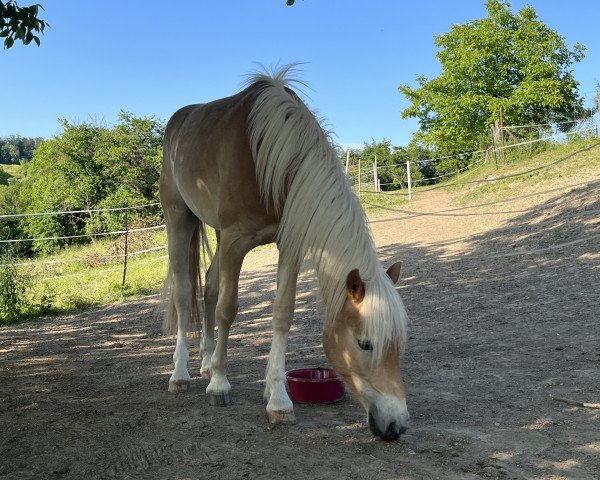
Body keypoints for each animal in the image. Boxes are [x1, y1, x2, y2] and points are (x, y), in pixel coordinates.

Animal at [157, 65, 410, 440]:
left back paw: (205, 362)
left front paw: (277, 401)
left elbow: (282, 313)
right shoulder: (235, 241)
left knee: (210, 286)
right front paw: (220, 385)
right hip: (179, 218)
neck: (270, 155)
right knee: (186, 295)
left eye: (397, 345)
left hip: (215, 231)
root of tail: (177, 121)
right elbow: (227, 311)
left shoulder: (288, 245)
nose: (396, 425)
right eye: (365, 344)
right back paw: (182, 375)